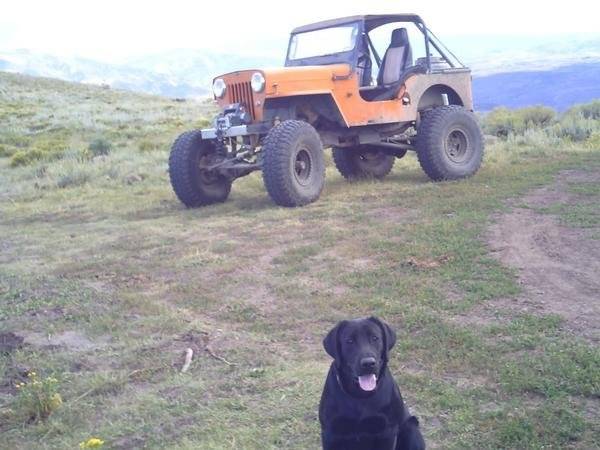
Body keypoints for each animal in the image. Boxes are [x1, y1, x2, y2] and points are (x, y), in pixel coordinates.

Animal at [322, 318, 424, 448]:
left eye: (375, 338)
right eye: (349, 341)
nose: (368, 363)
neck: (360, 396)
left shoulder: (387, 432)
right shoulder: (330, 433)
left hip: (411, 429)